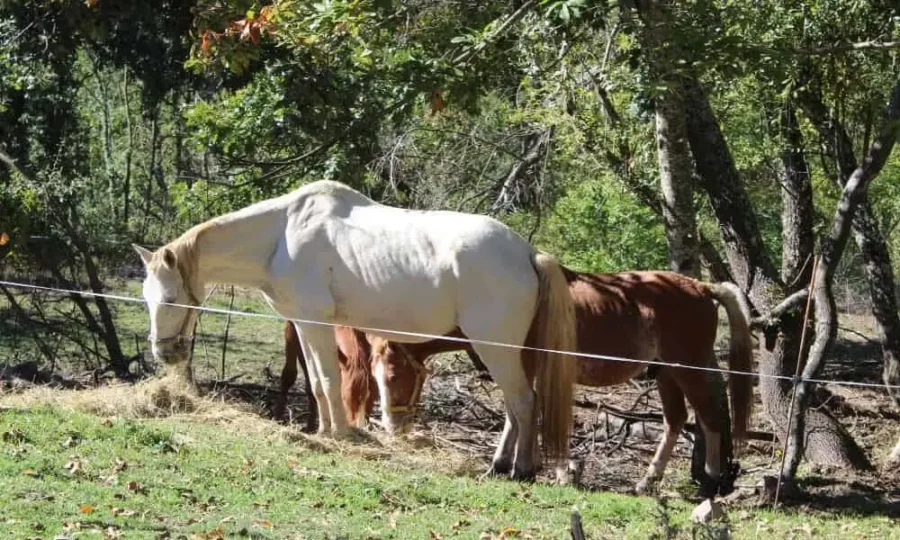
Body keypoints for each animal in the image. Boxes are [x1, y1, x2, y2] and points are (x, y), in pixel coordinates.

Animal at [132, 179, 577, 480]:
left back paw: (520, 469)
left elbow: (330, 381)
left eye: (171, 299)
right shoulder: (307, 325)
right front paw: (325, 431)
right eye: (145, 298)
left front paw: (342, 435)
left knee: (523, 402)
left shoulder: (316, 323)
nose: (164, 353)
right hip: (509, 352)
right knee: (516, 406)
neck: (282, 236)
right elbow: (315, 383)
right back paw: (501, 464)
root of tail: (528, 252)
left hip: (494, 347)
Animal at [367, 269, 754, 496]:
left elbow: (520, 410)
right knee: (675, 421)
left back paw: (711, 482)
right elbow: (517, 412)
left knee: (710, 417)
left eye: (392, 376)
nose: (392, 426)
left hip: (686, 368)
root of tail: (702, 286)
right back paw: (648, 480)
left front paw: (519, 466)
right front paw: (511, 463)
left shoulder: (518, 364)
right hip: (666, 374)